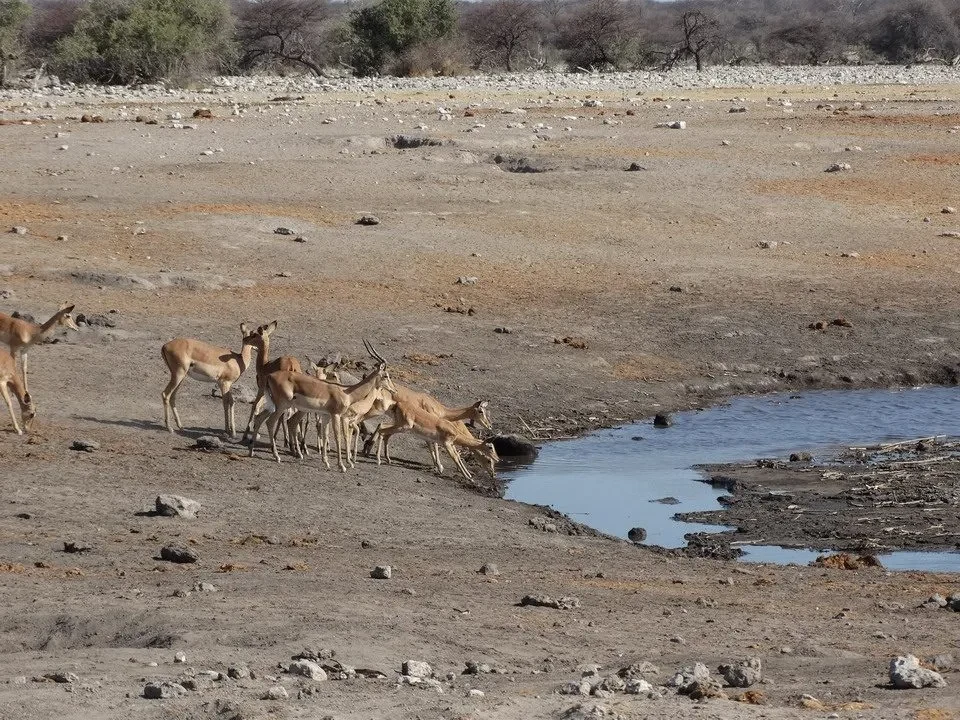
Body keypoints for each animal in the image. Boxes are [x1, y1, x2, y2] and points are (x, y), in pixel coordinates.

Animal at [249, 341, 395, 472]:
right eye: (386, 376)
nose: (393, 391)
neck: (346, 392)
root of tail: (270, 376)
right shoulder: (336, 415)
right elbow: (338, 437)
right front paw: (342, 466)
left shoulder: (326, 415)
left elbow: (325, 435)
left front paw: (327, 462)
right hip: (282, 405)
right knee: (270, 422)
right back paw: (277, 456)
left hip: (275, 405)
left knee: (260, 417)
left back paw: (252, 451)